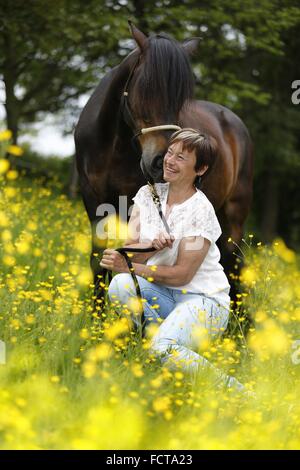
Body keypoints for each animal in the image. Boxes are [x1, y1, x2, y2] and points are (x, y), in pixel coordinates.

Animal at [74, 22, 253, 306]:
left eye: (181, 100)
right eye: (146, 88)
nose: (161, 162)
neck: (114, 145)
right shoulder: (93, 200)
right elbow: (99, 260)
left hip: (234, 217)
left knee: (234, 266)